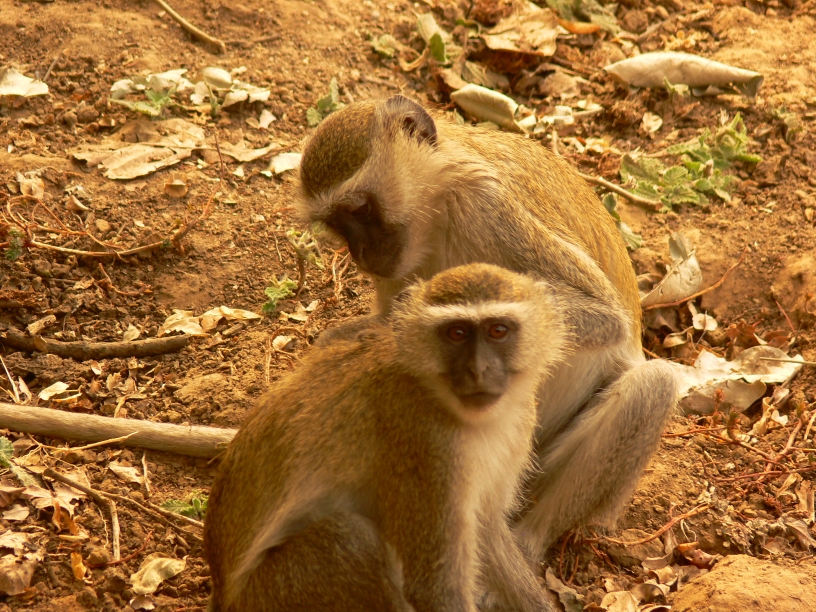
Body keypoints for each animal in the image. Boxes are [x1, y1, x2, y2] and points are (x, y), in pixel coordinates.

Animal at [203, 264, 567, 612]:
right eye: (456, 333)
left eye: (498, 331)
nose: (478, 370)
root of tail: (224, 596)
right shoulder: (423, 439)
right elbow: (434, 588)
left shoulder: (520, 420)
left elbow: (487, 527)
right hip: (274, 593)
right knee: (351, 539)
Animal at [297, 94, 679, 559]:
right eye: (337, 222)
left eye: (359, 209)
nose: (362, 254)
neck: (438, 207)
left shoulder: (489, 205)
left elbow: (604, 316)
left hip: (534, 467)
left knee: (652, 385)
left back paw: (527, 543)